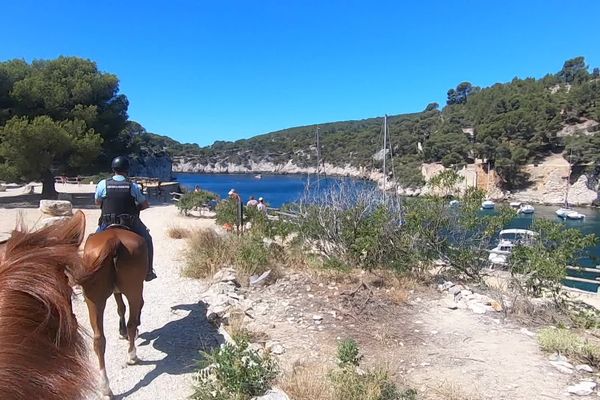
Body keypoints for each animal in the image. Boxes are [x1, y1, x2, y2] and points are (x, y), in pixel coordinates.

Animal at [77, 225, 148, 396]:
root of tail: (113, 240)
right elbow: (125, 308)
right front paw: (126, 332)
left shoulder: (115, 291)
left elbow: (120, 307)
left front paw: (121, 332)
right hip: (135, 290)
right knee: (132, 321)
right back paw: (132, 355)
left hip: (94, 300)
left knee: (99, 340)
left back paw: (105, 387)